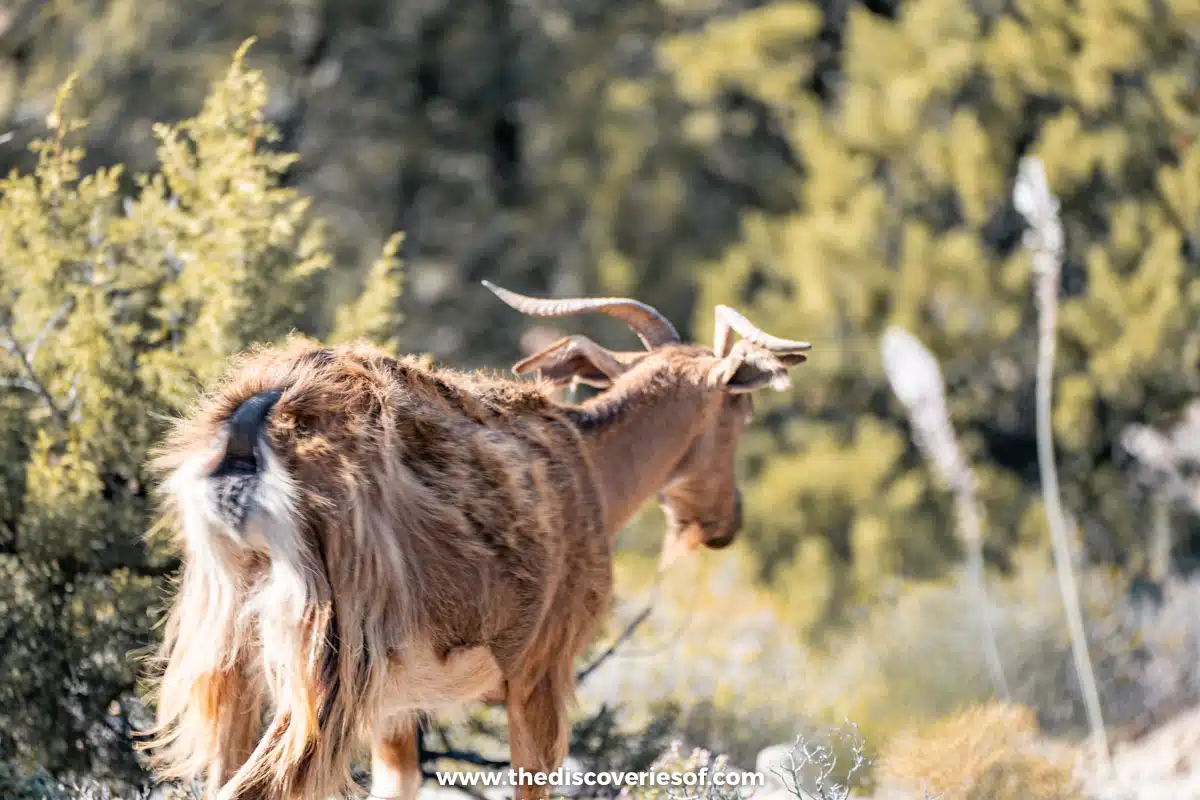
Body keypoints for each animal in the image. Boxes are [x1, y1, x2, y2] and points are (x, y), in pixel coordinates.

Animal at [145, 283, 811, 800]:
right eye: (740, 412)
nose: (726, 521)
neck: (594, 468)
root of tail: (252, 428)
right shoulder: (542, 670)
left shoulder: (398, 708)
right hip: (330, 661)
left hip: (227, 650)